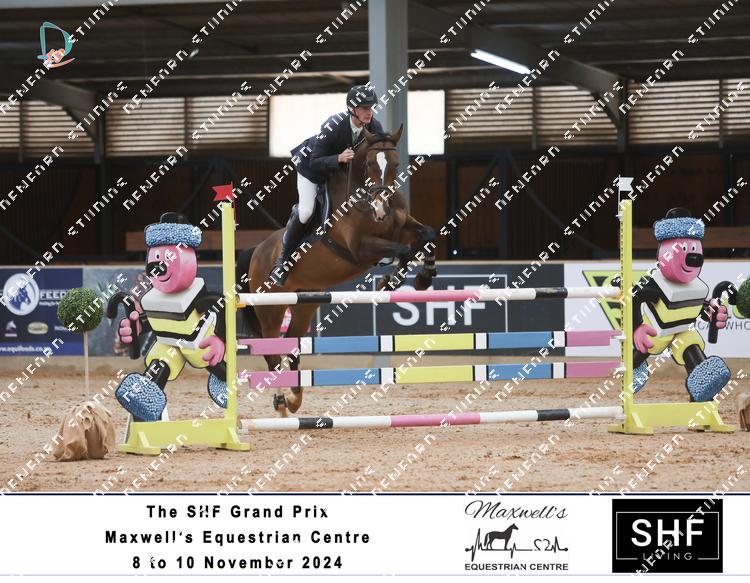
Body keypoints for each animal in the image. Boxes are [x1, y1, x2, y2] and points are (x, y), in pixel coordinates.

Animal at [237, 125, 437, 417]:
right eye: (369, 164)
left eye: (396, 164)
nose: (380, 209)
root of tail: (257, 250)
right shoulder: (360, 248)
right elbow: (404, 251)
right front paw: (389, 282)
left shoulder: (403, 228)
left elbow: (428, 235)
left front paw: (422, 278)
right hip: (270, 308)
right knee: (272, 352)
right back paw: (281, 402)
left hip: (305, 302)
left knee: (293, 343)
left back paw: (295, 398)